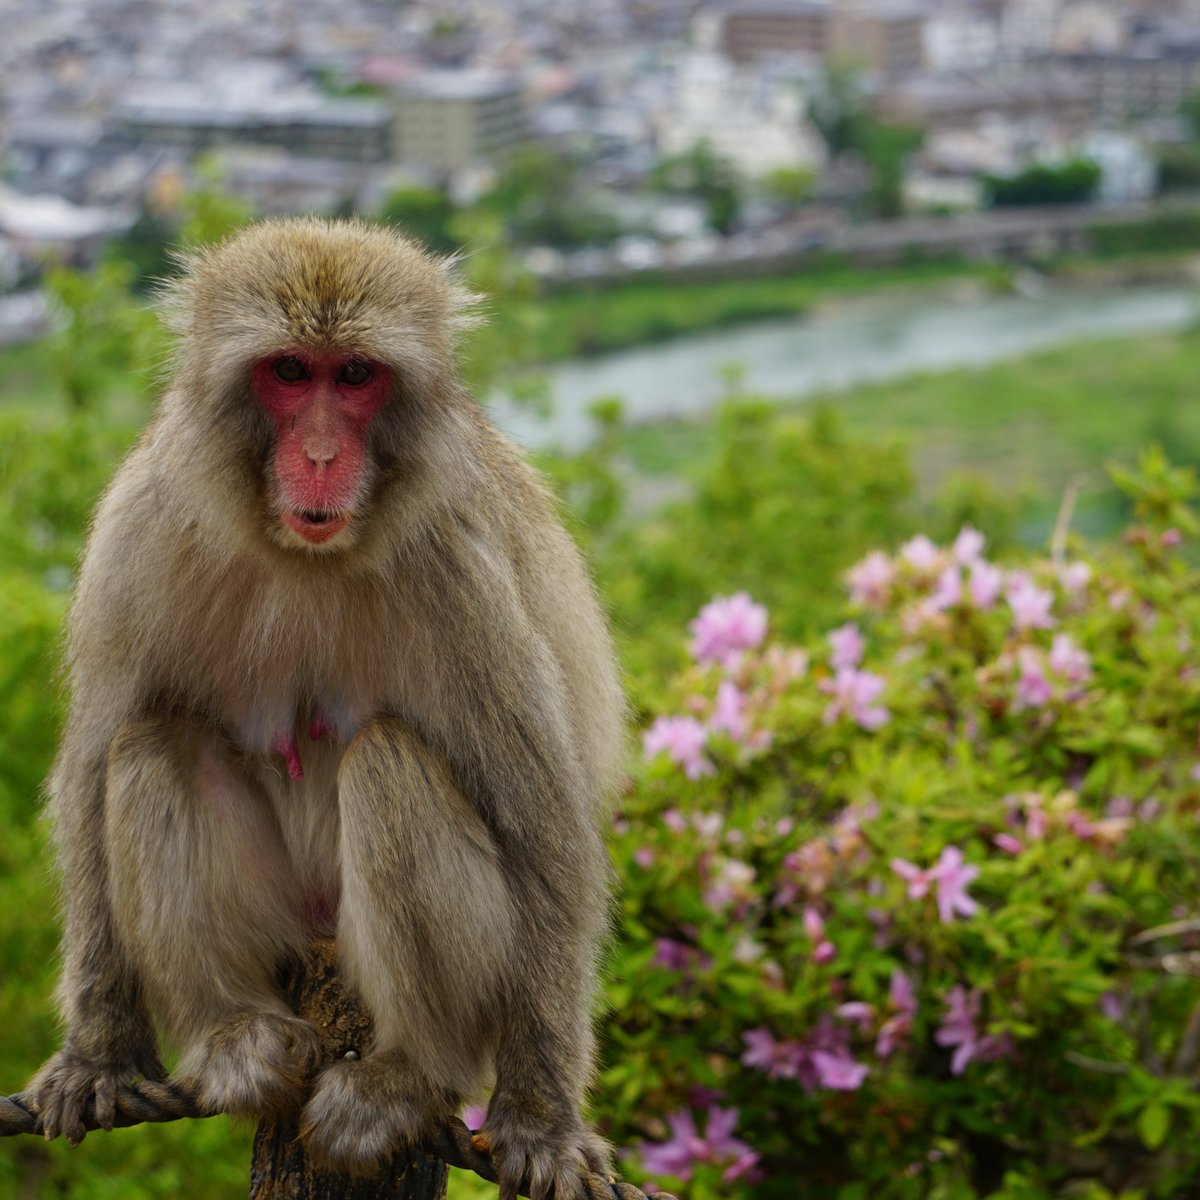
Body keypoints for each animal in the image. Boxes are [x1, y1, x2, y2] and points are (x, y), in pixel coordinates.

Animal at [25, 218, 628, 1200]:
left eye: (352, 376)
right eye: (287, 372)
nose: (315, 457)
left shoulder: (461, 569)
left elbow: (542, 828)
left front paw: (541, 1118)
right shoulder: (138, 532)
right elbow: (88, 770)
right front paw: (101, 1052)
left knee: (388, 763)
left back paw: (406, 1076)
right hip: (280, 919)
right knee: (150, 742)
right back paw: (237, 1036)